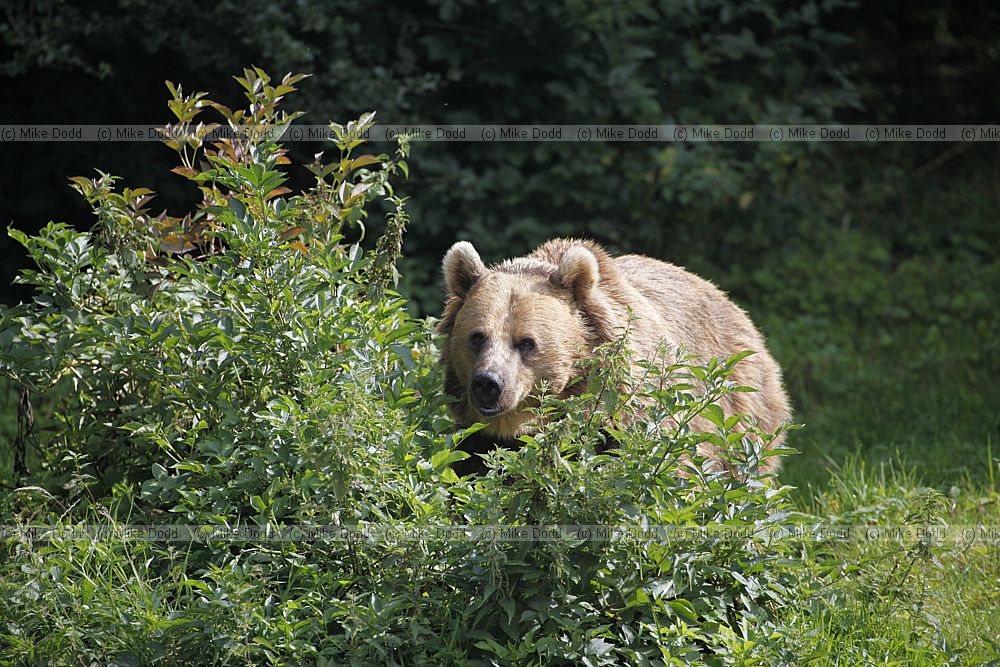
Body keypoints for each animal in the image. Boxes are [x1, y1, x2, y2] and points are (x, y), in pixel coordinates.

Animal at [438, 238, 791, 477]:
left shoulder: (632, 418)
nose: (489, 383)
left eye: (526, 343)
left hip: (742, 417)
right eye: (477, 337)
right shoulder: (478, 437)